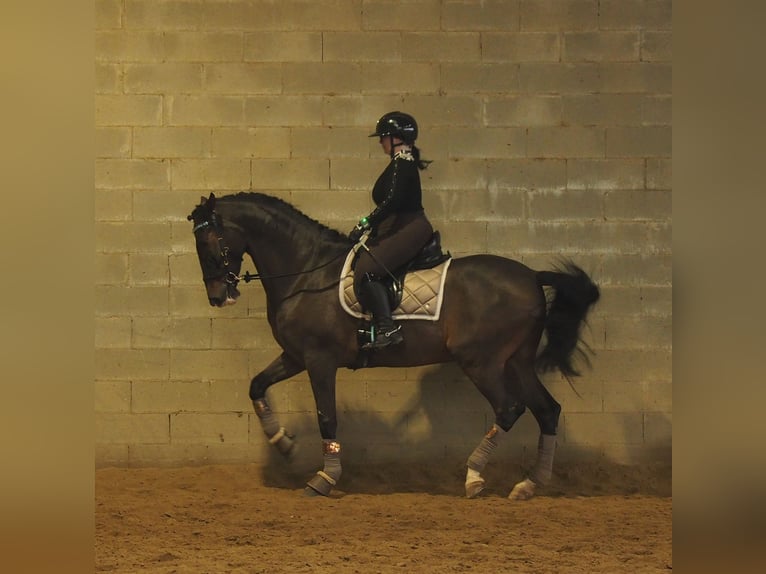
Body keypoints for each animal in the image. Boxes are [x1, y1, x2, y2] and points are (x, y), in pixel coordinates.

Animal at [189, 192, 604, 500]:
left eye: (208, 241)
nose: (217, 297)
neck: (307, 271)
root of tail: (532, 276)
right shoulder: (295, 356)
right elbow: (256, 385)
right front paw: (283, 443)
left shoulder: (319, 359)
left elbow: (327, 416)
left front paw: (324, 478)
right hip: (517, 361)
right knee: (547, 410)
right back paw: (529, 484)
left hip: (482, 362)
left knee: (509, 409)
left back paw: (474, 477)